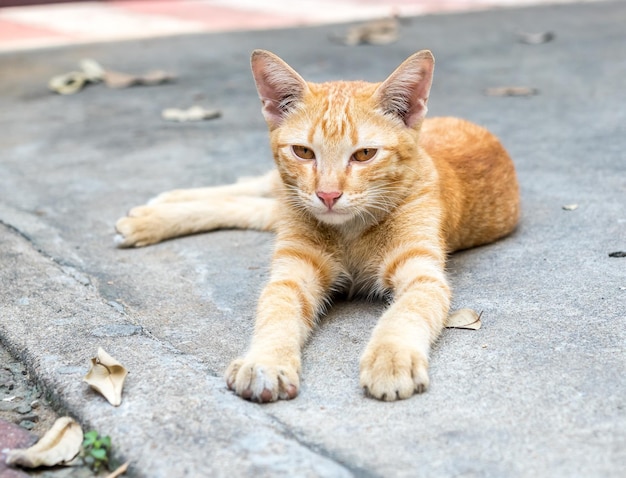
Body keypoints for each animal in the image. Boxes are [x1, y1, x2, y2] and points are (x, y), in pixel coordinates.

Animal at [114, 48, 520, 402]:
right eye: (303, 152)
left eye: (365, 154)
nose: (327, 195)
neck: (351, 230)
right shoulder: (295, 272)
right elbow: (276, 312)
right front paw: (265, 361)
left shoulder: (422, 274)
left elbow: (406, 313)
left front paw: (392, 358)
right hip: (286, 196)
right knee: (252, 187)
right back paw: (161, 207)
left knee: (253, 205)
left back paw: (153, 215)